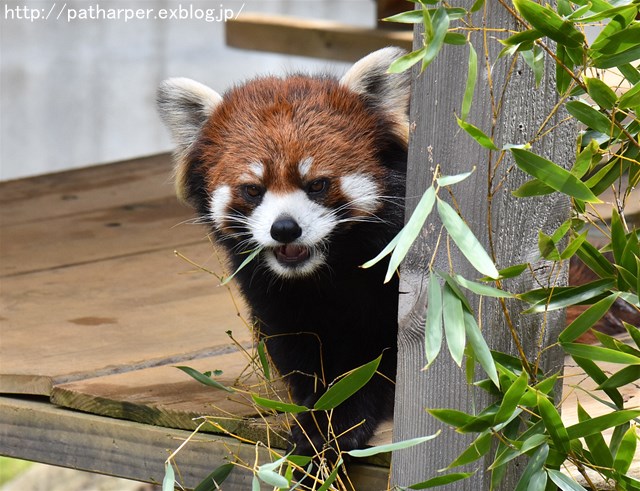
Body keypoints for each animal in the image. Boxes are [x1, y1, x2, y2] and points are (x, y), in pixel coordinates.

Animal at [158, 48, 412, 460]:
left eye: (317, 185)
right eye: (252, 189)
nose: (285, 229)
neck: (326, 272)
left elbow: (382, 358)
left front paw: (337, 416)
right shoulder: (271, 292)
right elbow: (293, 345)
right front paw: (313, 404)